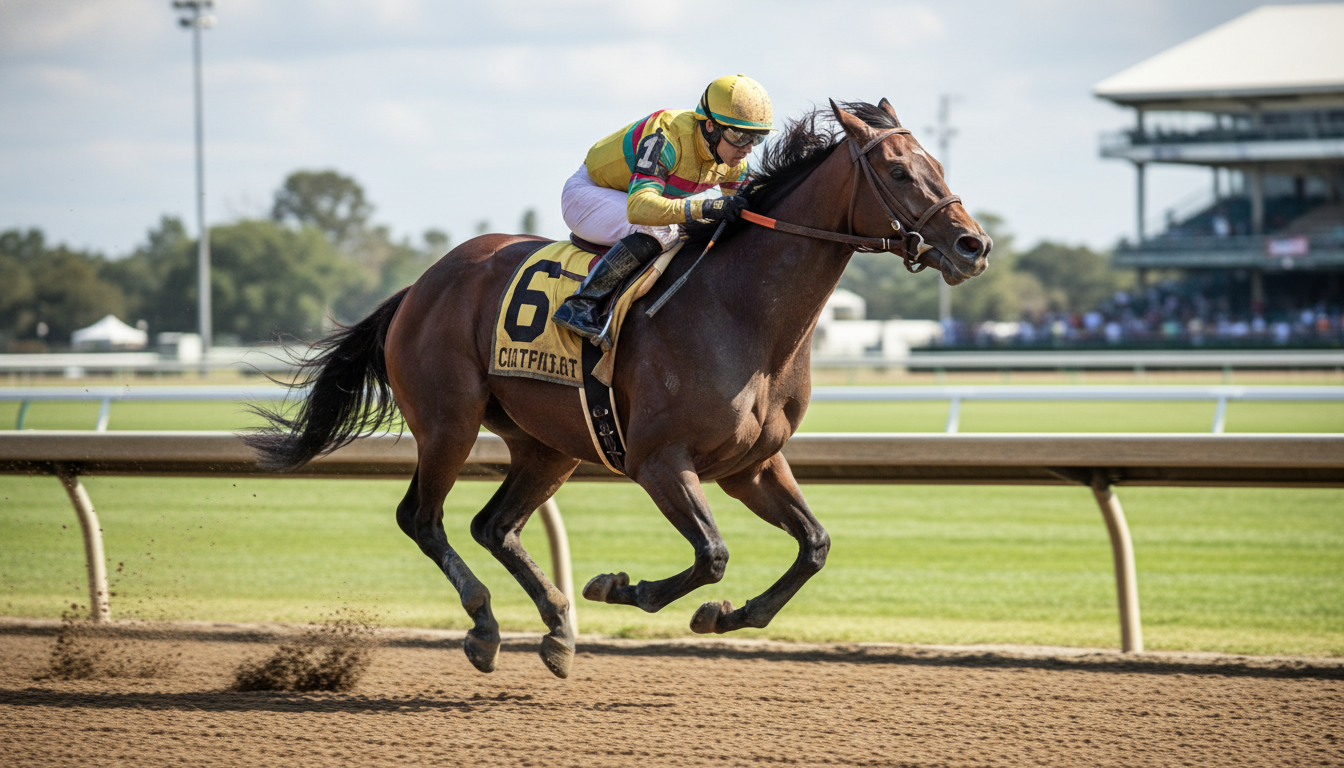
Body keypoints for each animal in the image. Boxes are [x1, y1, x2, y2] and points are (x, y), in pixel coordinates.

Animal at [245, 98, 991, 679]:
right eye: (899, 171)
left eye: (938, 163)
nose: (972, 246)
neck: (742, 312)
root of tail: (422, 284)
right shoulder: (659, 461)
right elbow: (712, 553)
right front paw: (623, 587)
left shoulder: (750, 465)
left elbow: (814, 546)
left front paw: (727, 615)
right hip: (448, 423)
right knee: (423, 520)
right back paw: (486, 626)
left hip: (548, 444)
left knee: (494, 525)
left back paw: (556, 629)